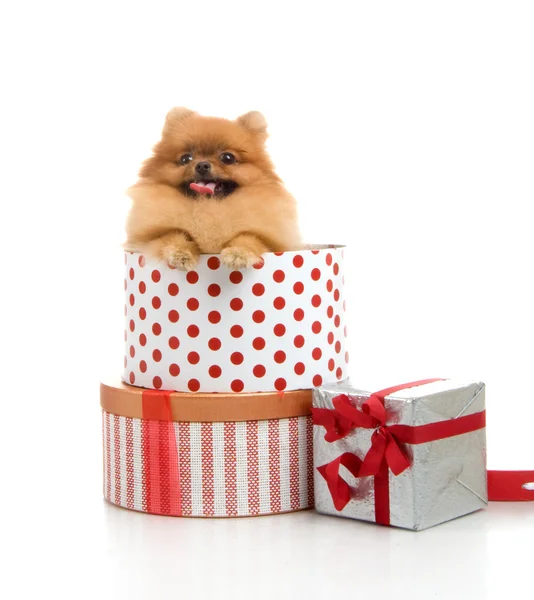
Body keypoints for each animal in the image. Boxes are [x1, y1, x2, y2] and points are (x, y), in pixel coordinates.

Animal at [124, 108, 302, 270]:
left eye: (228, 158)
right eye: (185, 158)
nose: (202, 165)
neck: (208, 207)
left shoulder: (271, 239)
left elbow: (250, 237)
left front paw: (238, 253)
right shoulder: (145, 238)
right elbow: (172, 235)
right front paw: (181, 253)